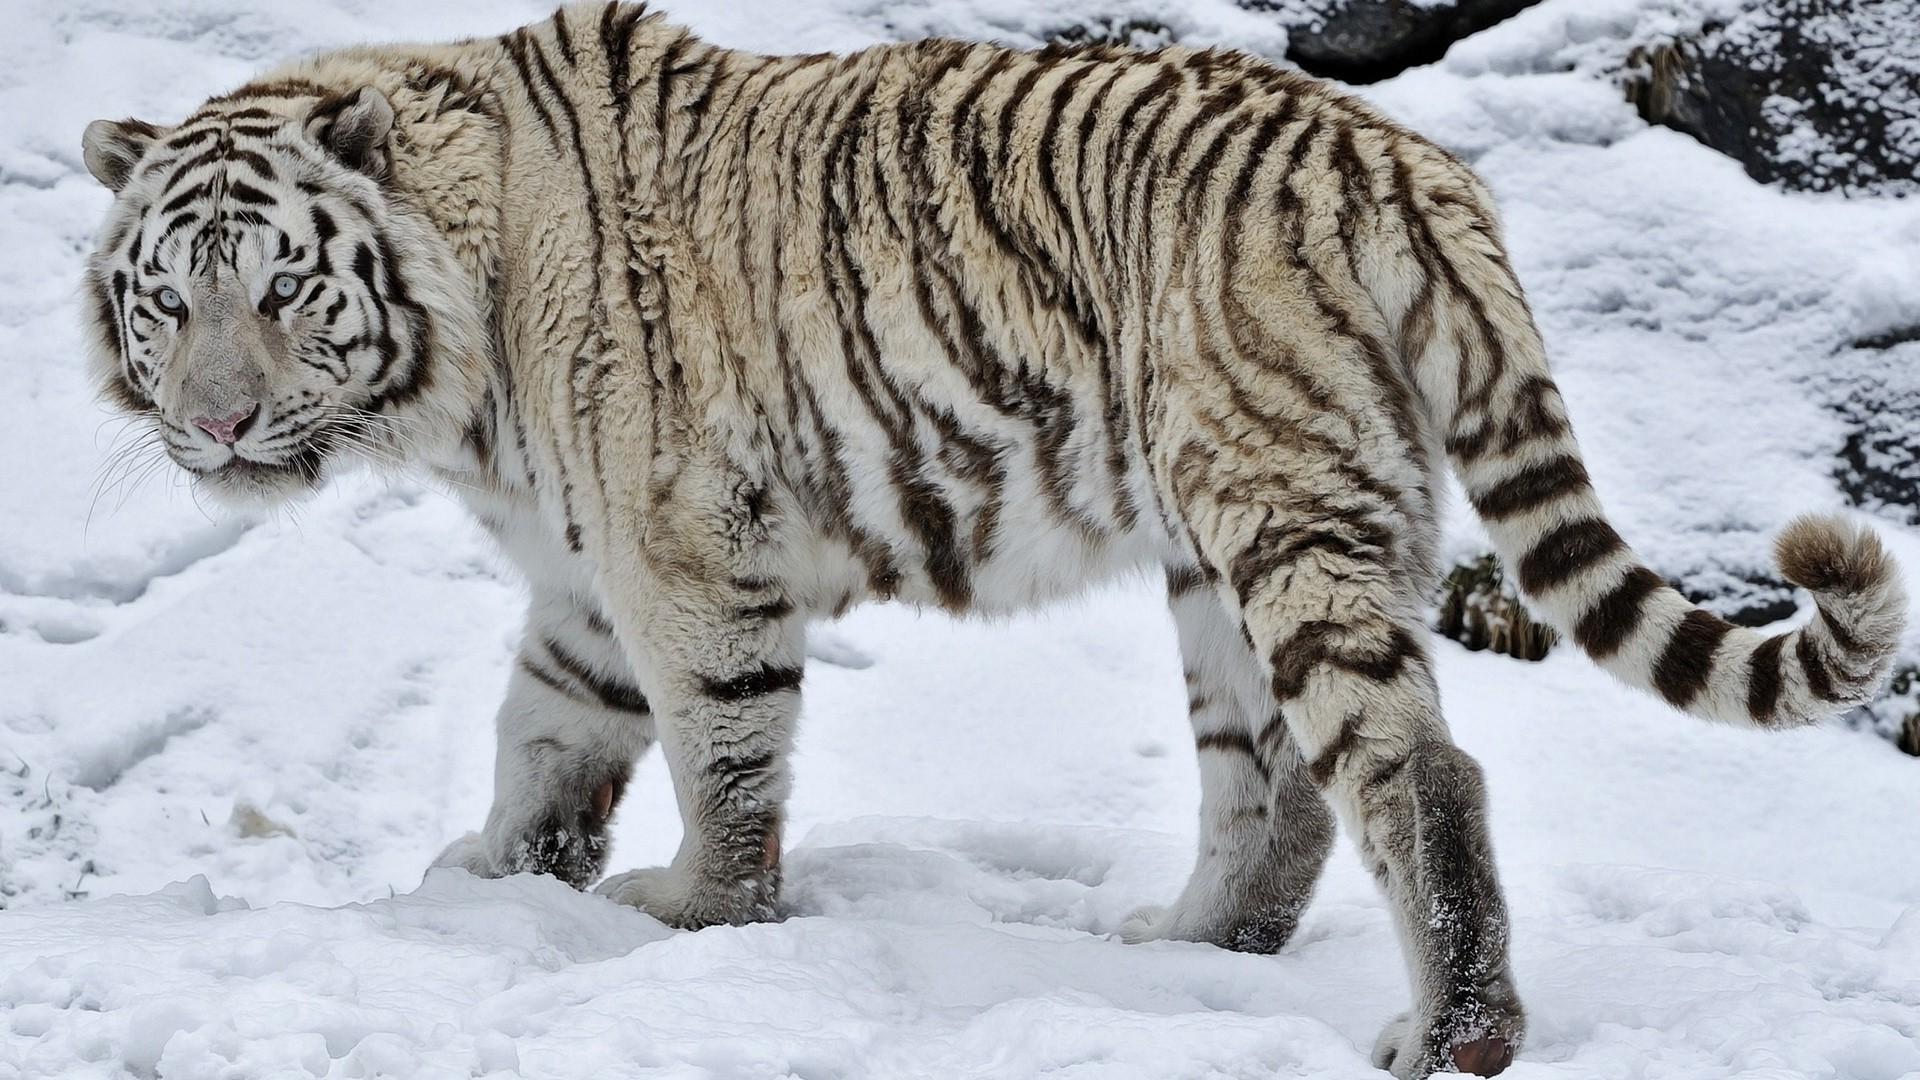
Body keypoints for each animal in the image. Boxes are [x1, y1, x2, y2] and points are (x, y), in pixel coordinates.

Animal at [79, 3, 1906, 1075]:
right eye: (169, 297)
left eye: (285, 288)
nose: (220, 425)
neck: (459, 340)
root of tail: (1400, 158)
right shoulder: (585, 575)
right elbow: (545, 736)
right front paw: (493, 885)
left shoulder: (680, 547)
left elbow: (716, 748)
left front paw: (694, 915)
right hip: (1235, 549)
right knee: (1277, 780)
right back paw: (1197, 948)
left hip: (1279, 506)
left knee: (1416, 769)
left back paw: (1449, 1031)